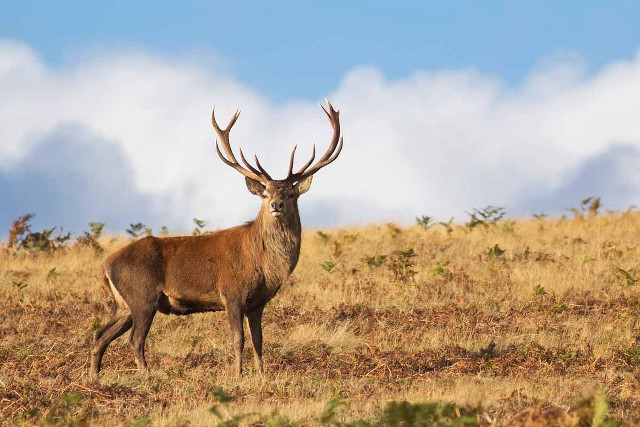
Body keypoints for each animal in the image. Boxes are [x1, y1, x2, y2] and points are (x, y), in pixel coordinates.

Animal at [90, 100, 343, 377]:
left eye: (291, 193)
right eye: (265, 193)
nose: (276, 204)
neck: (263, 265)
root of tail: (105, 265)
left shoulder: (257, 302)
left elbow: (259, 340)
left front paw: (262, 375)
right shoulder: (232, 292)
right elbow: (238, 338)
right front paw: (238, 375)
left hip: (124, 304)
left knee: (100, 334)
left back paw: (94, 376)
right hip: (142, 296)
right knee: (134, 338)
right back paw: (146, 375)